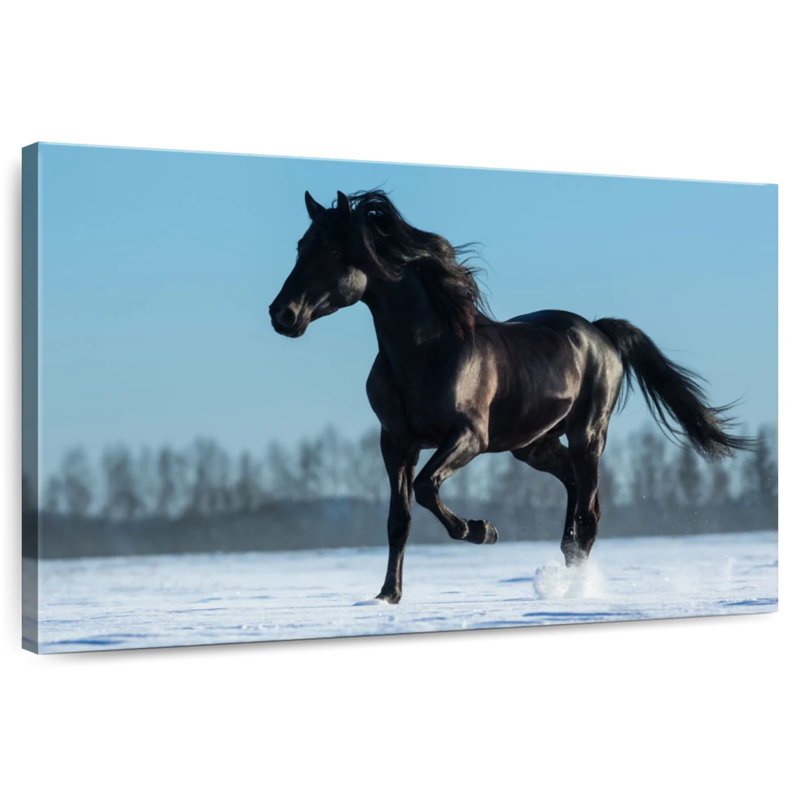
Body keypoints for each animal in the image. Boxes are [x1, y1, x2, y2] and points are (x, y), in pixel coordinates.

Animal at [269, 189, 751, 604]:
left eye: (334, 252)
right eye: (301, 246)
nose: (282, 315)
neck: (425, 351)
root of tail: (598, 332)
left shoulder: (468, 437)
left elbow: (426, 488)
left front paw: (483, 530)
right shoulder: (396, 442)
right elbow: (398, 519)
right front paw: (388, 597)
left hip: (588, 435)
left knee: (589, 514)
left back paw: (576, 590)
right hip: (533, 445)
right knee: (573, 494)